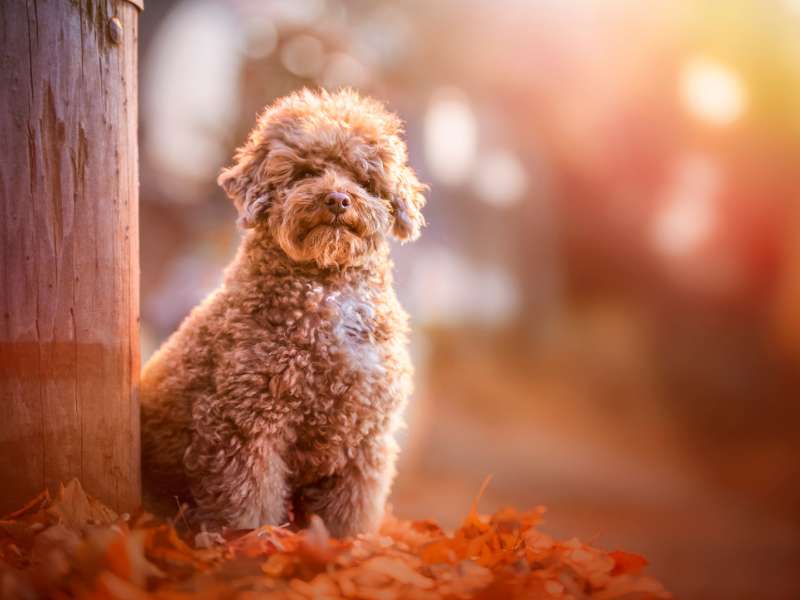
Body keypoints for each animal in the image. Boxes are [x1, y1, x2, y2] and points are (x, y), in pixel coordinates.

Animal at [139, 88, 424, 536]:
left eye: (362, 178)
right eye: (305, 172)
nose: (337, 199)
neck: (328, 290)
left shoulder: (365, 437)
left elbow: (350, 510)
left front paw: (348, 544)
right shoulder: (245, 423)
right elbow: (249, 500)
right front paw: (253, 541)